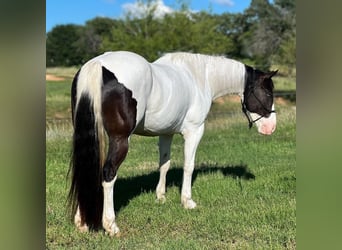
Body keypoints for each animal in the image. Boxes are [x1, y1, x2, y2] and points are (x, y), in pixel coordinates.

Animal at [67, 51, 278, 236]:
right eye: (268, 93)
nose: (271, 128)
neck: (200, 77)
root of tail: (98, 65)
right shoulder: (194, 131)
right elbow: (188, 166)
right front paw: (187, 201)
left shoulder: (165, 133)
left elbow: (164, 164)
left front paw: (161, 197)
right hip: (120, 139)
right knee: (109, 173)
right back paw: (111, 226)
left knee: (85, 168)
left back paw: (82, 223)